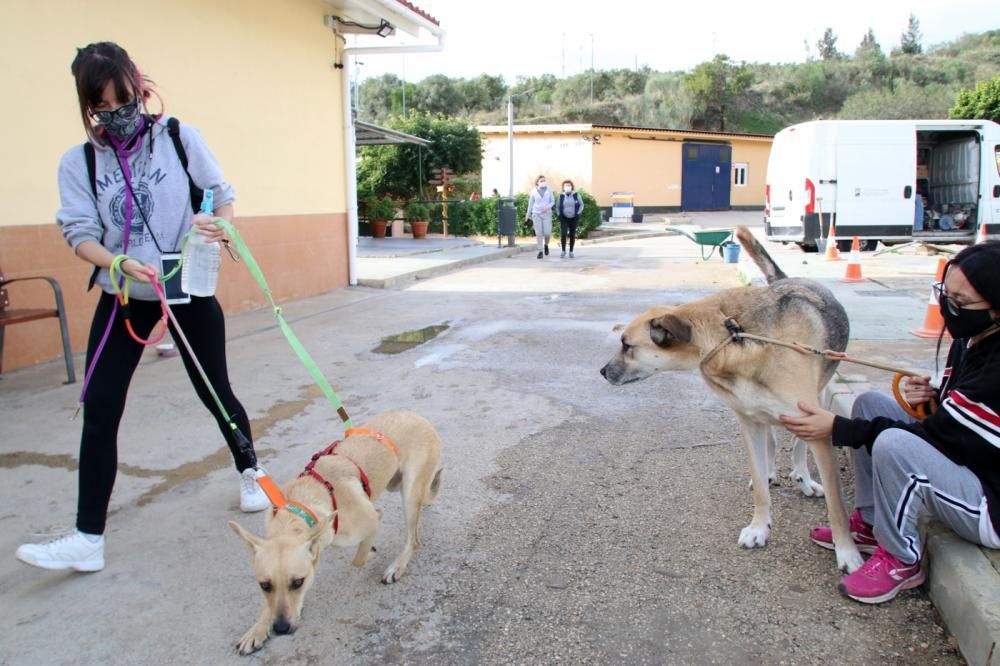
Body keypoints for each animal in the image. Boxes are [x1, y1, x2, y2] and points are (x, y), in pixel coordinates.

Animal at [232, 408, 444, 652]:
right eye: (265, 586)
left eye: (298, 583)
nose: (281, 628)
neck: (303, 504)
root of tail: (416, 416)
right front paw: (257, 628)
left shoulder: (372, 521)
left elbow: (358, 559)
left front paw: (369, 553)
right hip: (396, 484)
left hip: (408, 492)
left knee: (414, 539)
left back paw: (397, 566)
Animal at [600, 226, 868, 572]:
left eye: (626, 345)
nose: (603, 372)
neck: (731, 335)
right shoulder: (748, 422)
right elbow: (761, 488)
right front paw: (759, 527)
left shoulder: (816, 426)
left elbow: (837, 505)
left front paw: (847, 552)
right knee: (771, 441)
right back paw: (770, 473)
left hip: (819, 398)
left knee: (798, 446)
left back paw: (804, 478)